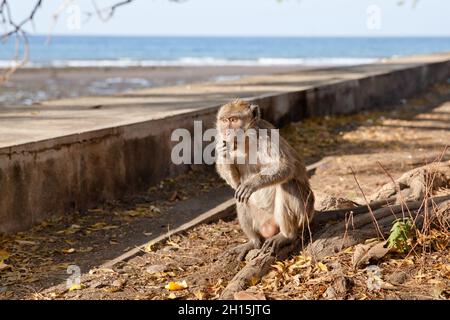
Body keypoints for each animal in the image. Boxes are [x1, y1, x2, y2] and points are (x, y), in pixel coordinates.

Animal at [216, 99, 314, 260]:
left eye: (233, 120)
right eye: (224, 120)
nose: (226, 132)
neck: (246, 139)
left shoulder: (266, 137)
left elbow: (285, 167)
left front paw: (252, 184)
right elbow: (236, 184)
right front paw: (224, 152)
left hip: (304, 214)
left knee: (288, 184)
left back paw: (287, 236)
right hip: (261, 218)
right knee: (239, 197)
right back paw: (254, 241)